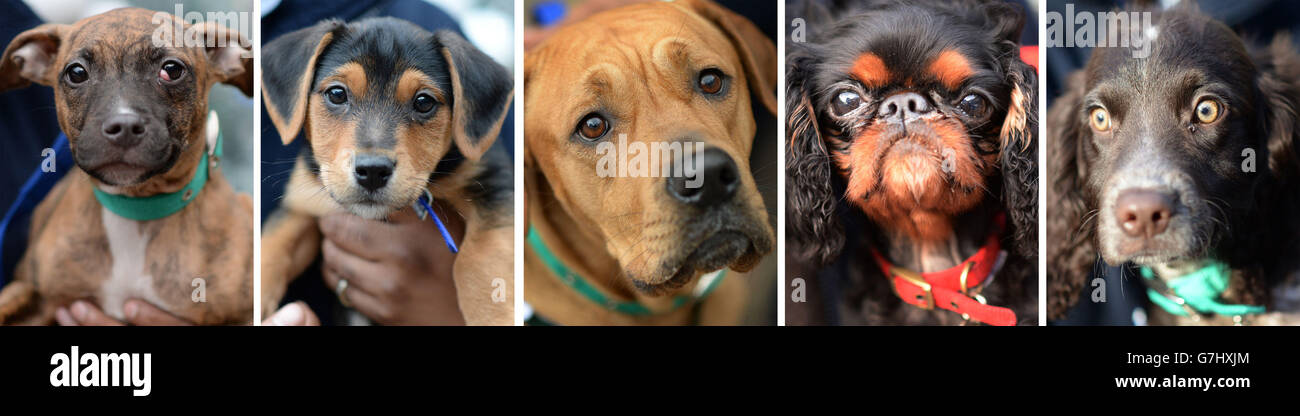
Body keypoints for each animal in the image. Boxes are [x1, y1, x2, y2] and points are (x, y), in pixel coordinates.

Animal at [258, 18, 512, 325]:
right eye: (337, 94)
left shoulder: (495, 185)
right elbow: (272, 244)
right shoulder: (302, 203)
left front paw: (493, 314)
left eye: (424, 102)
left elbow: (482, 259)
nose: (372, 171)